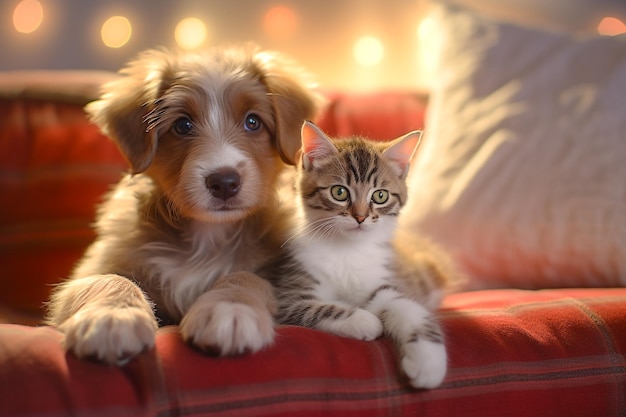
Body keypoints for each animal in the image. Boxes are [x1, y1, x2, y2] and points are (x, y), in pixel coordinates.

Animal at [44, 45, 322, 362]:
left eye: (253, 122)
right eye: (182, 125)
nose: (224, 182)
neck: (207, 236)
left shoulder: (277, 274)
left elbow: (245, 277)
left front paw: (231, 308)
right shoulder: (92, 268)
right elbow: (106, 279)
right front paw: (112, 317)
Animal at [258, 122, 458, 388]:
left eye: (380, 195)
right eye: (339, 192)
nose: (361, 217)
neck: (347, 250)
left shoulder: (386, 277)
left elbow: (409, 307)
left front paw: (427, 362)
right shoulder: (288, 290)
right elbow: (313, 307)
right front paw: (364, 320)